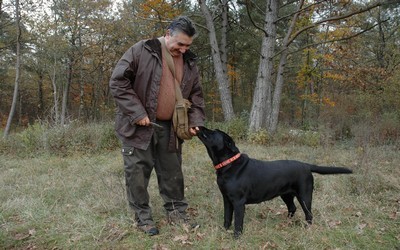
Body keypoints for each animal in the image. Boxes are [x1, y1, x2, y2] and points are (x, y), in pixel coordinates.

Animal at [198, 128, 354, 237]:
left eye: (213, 131)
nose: (202, 126)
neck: (228, 164)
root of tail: (306, 165)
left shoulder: (238, 202)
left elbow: (237, 221)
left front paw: (236, 237)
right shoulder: (227, 199)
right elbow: (227, 217)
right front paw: (224, 231)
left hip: (304, 195)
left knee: (309, 213)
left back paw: (307, 228)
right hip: (286, 195)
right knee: (292, 208)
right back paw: (287, 222)